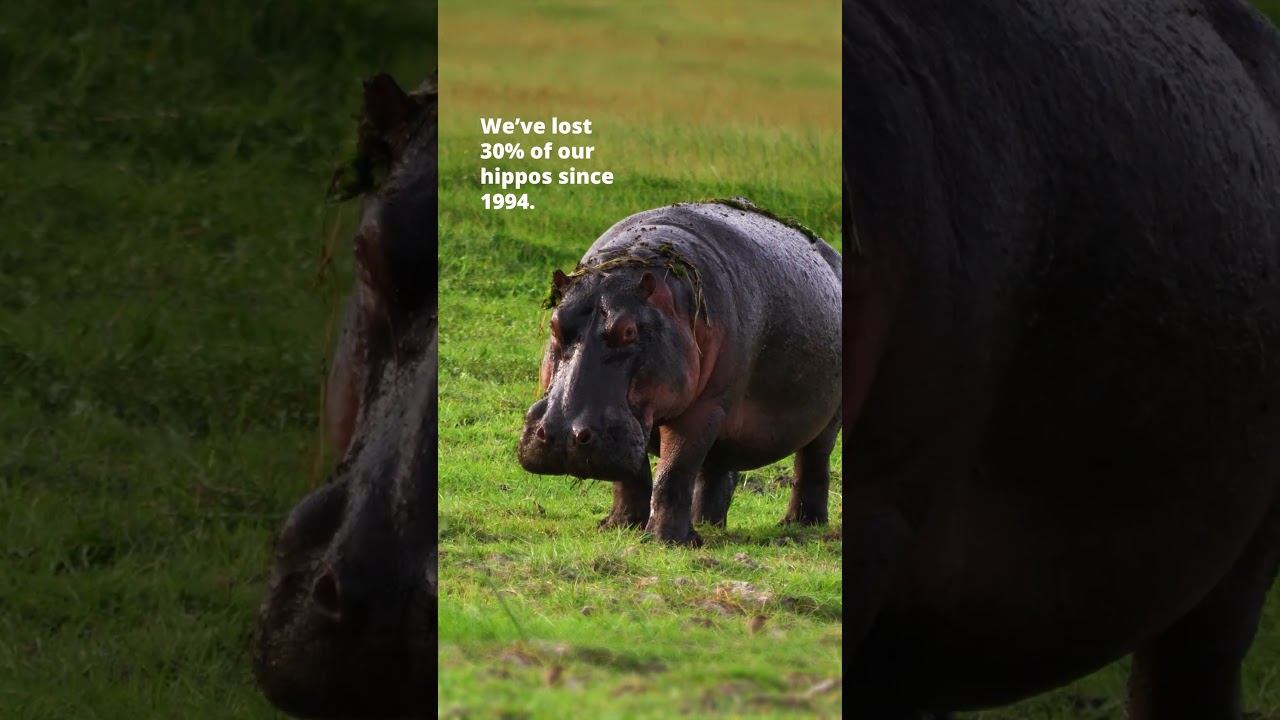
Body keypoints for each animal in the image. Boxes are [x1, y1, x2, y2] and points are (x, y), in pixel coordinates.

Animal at [517, 199, 842, 546]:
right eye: (554, 323)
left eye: (629, 330)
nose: (562, 436)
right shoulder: (633, 426)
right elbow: (630, 476)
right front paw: (620, 526)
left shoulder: (702, 409)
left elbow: (674, 470)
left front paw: (666, 541)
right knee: (715, 469)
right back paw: (708, 524)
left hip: (822, 420)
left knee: (812, 464)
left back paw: (800, 524)